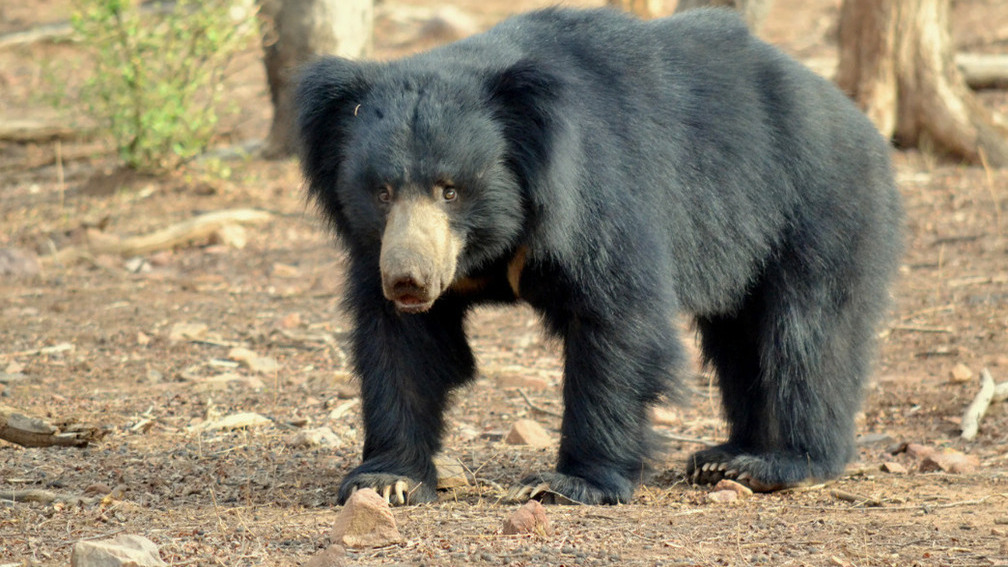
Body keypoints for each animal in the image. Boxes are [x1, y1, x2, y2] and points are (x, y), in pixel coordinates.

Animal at [294, 7, 903, 502]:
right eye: (381, 191)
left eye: (450, 190)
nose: (410, 281)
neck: (494, 242)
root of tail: (858, 120)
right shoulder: (380, 248)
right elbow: (403, 344)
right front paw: (387, 479)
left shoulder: (599, 193)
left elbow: (618, 320)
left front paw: (566, 482)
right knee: (741, 339)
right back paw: (725, 458)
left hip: (818, 207)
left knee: (808, 335)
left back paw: (779, 463)